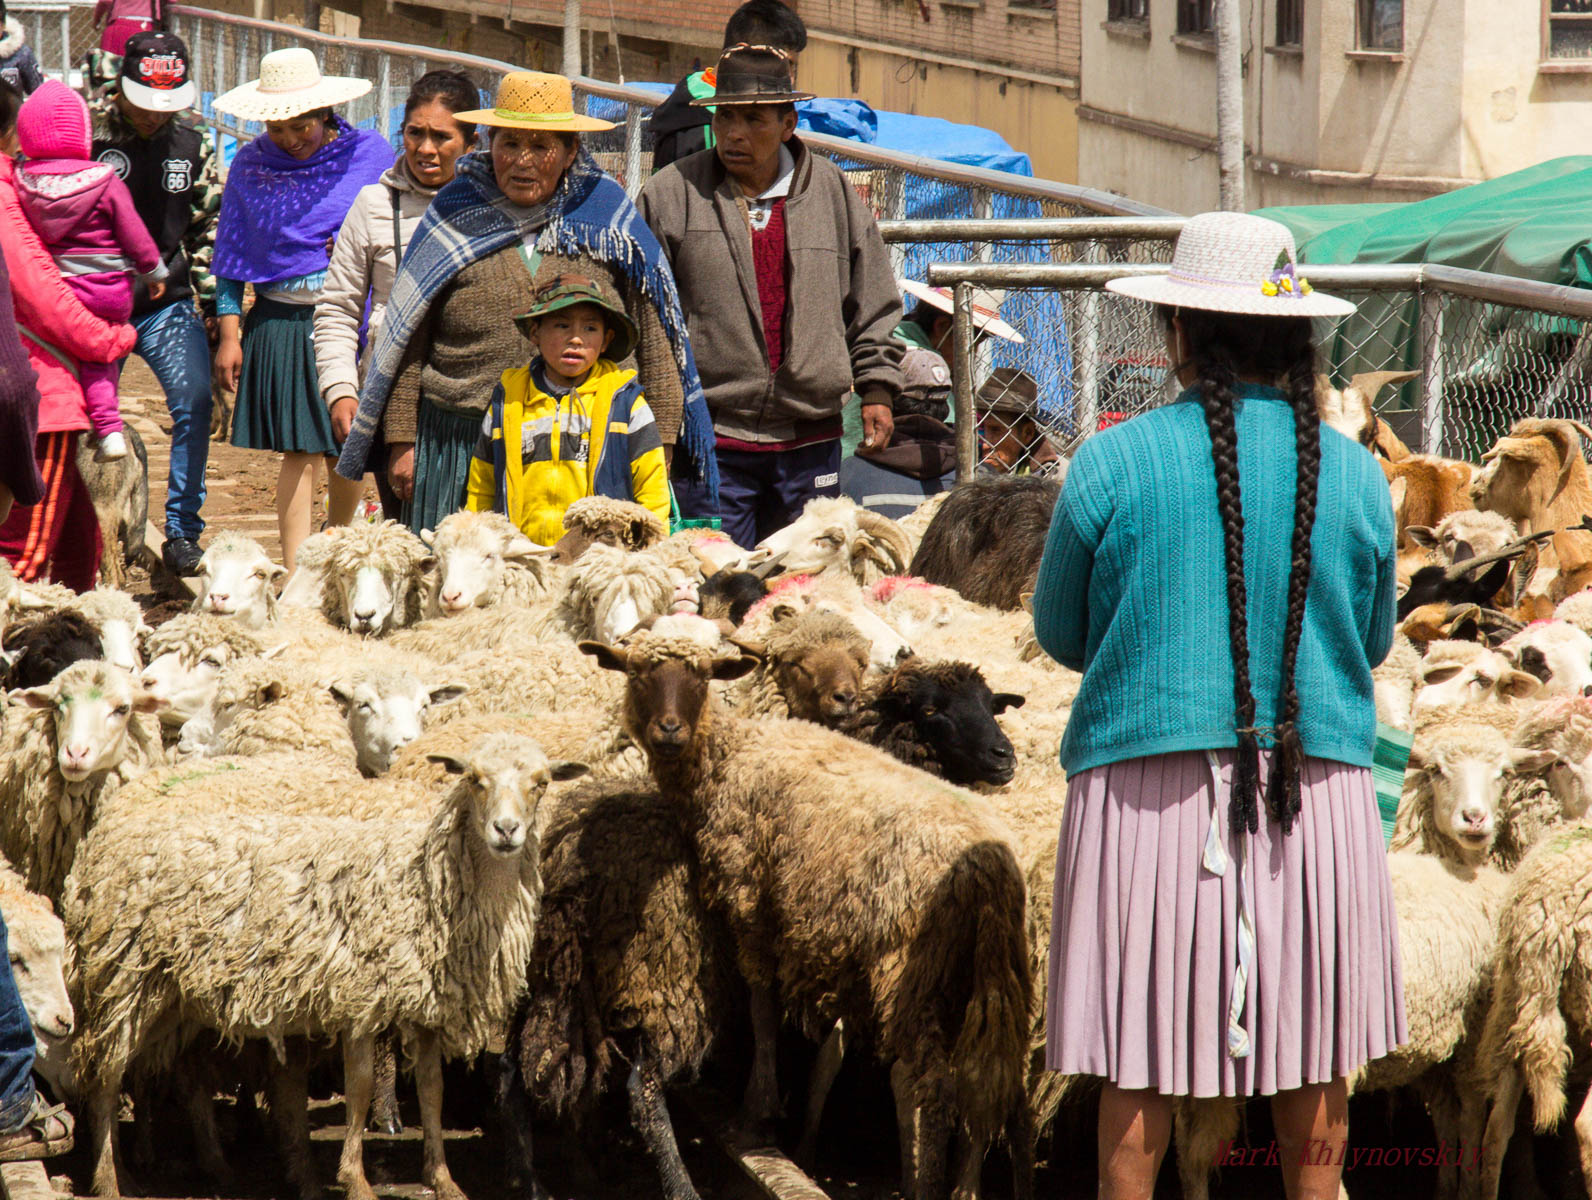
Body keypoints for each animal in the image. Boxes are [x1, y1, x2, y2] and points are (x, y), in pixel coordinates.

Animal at [65, 728, 592, 1196]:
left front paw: (443, 1181)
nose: (507, 830)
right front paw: (356, 1181)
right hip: (124, 977)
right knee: (105, 1078)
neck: (424, 880)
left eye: (542, 782)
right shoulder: (358, 999)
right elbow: (358, 1089)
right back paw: (110, 1181)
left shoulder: (425, 1005)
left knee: (171, 1074)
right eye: (474, 779)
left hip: (176, 998)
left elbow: (432, 1091)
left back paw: (186, 1167)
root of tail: (97, 846)